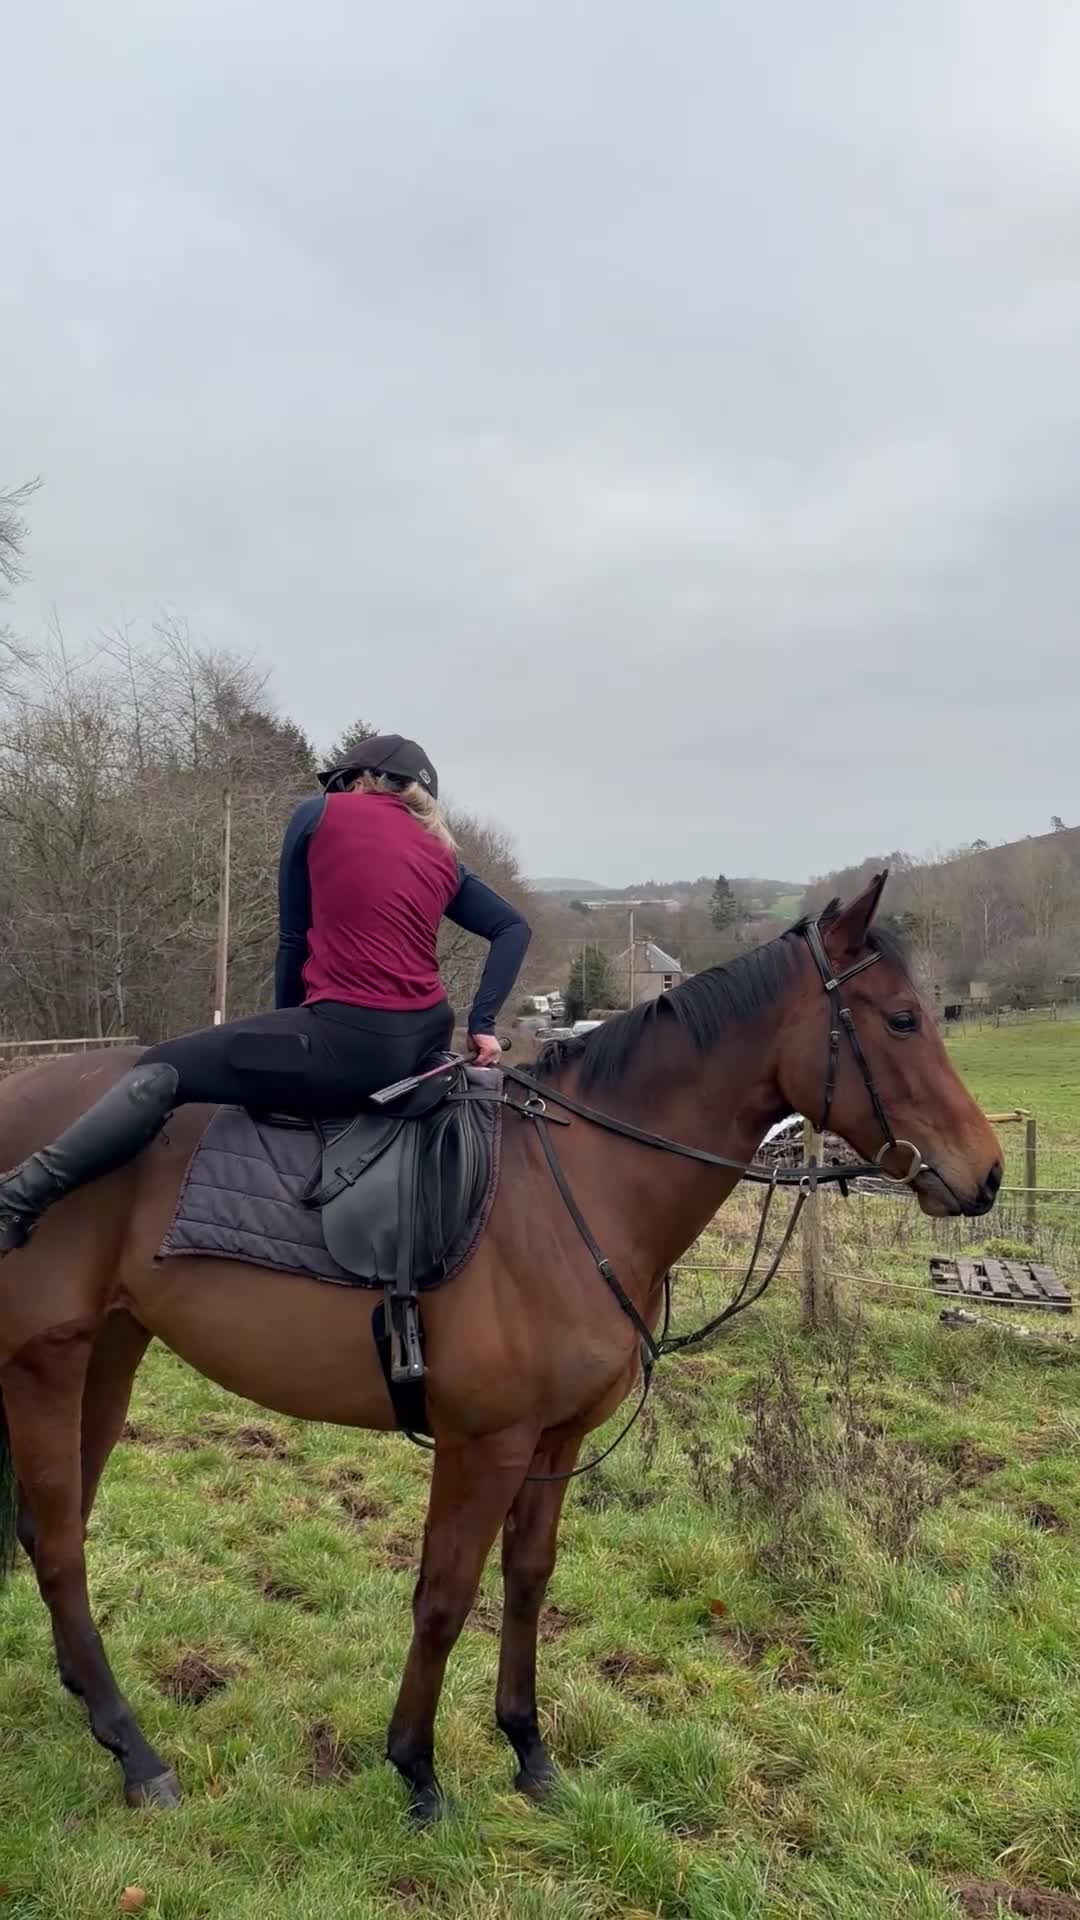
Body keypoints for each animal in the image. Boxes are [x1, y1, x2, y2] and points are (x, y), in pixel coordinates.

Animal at [0, 876, 1002, 1820]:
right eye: (903, 1018)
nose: (987, 1174)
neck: (581, 1184)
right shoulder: (485, 1443)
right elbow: (445, 1596)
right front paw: (416, 1768)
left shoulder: (554, 1441)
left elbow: (527, 1580)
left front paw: (528, 1748)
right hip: (43, 1361)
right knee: (58, 1540)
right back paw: (135, 1751)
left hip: (111, 1351)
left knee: (56, 1530)